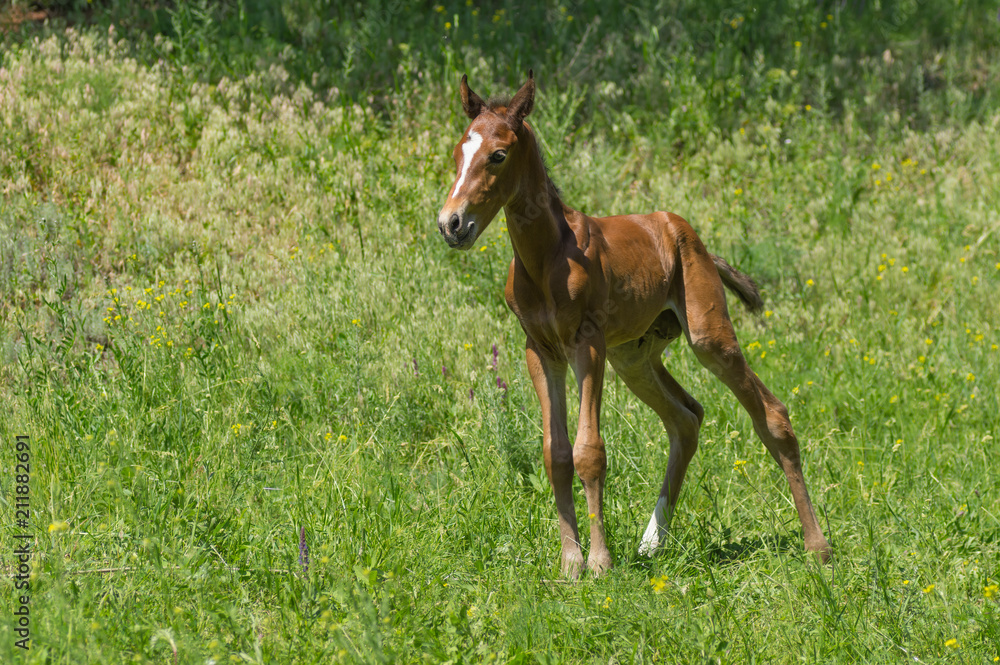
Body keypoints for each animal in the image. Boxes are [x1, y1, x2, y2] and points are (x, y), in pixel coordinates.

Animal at [436, 71, 832, 577]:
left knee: (773, 414)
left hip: (707, 337)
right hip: (633, 357)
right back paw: (651, 542)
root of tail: (688, 233)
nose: (452, 223)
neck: (546, 258)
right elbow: (555, 453)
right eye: (457, 153)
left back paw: (818, 547)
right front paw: (570, 564)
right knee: (687, 417)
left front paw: (599, 562)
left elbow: (589, 451)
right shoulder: (540, 350)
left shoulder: (587, 343)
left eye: (498, 155)